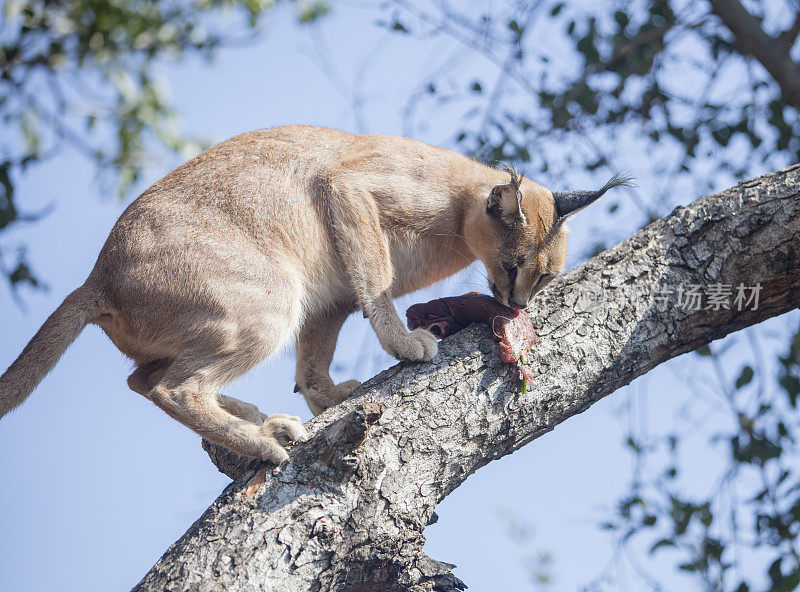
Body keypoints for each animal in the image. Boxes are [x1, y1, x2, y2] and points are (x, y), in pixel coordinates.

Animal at [0, 126, 628, 462]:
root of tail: (97, 276)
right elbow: (377, 283)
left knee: (141, 380)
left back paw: (261, 420)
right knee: (172, 387)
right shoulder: (350, 189)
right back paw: (263, 442)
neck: (457, 209)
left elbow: (313, 360)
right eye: (515, 264)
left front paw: (327, 398)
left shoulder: (330, 300)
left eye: (544, 277)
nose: (517, 306)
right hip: (271, 300)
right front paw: (404, 343)